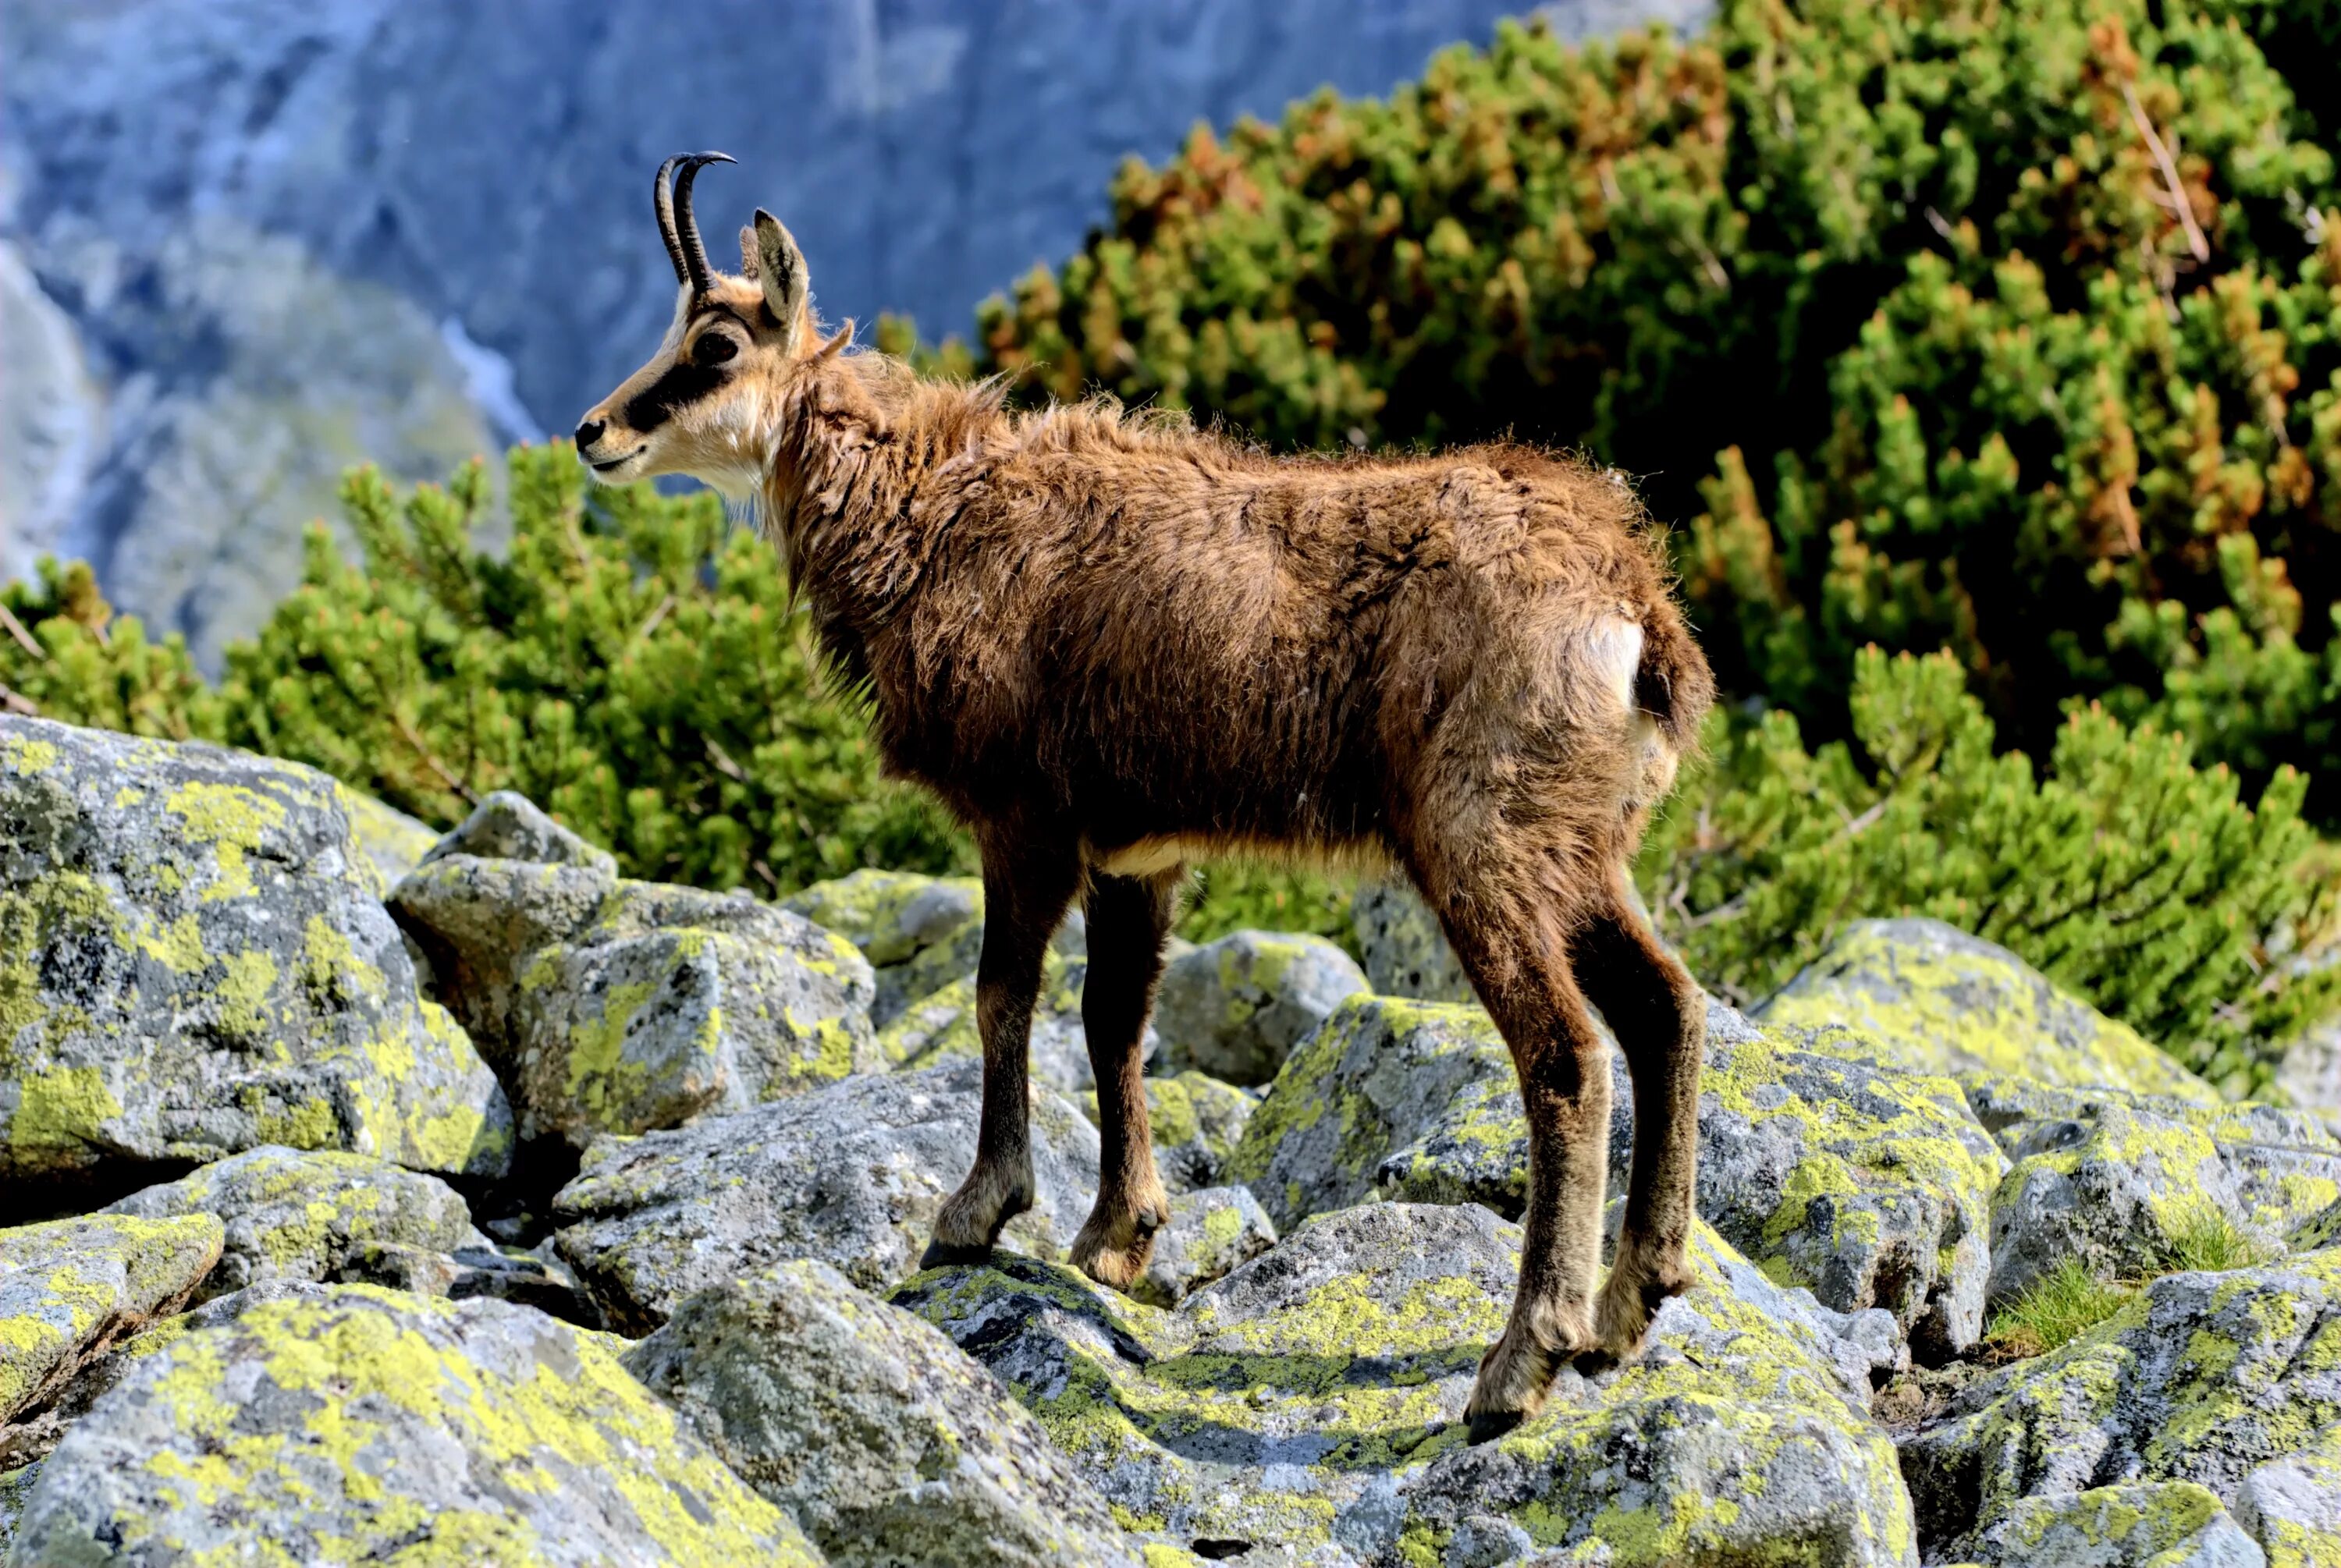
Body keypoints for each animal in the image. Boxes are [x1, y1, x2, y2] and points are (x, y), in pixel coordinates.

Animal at [581, 157, 1723, 1442]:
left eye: (716, 344)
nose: (593, 431)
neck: (931, 513)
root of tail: (1637, 608)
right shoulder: (1139, 851)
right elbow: (1114, 1016)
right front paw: (1116, 1236)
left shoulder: (1021, 818)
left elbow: (1001, 997)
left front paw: (976, 1209)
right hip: (1581, 848)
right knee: (1666, 1006)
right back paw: (1632, 1301)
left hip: (1483, 842)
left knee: (1568, 1054)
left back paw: (1523, 1358)